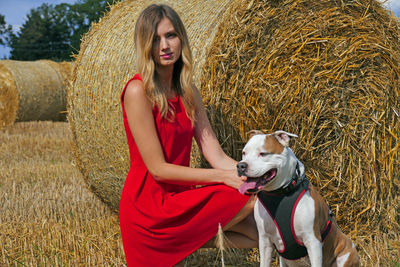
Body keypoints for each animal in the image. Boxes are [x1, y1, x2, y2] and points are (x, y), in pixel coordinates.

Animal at [238, 131, 360, 267]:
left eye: (263, 154)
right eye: (244, 153)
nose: (241, 165)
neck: (280, 194)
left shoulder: (313, 241)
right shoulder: (265, 241)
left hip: (345, 254)